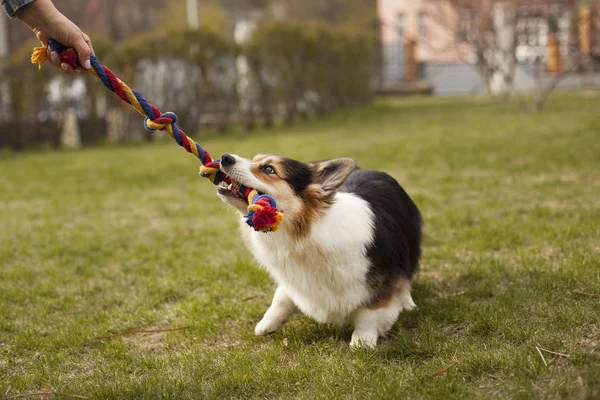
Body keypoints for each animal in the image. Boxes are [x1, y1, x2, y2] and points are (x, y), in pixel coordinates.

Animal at [217, 153, 422, 346]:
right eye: (254, 159)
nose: (225, 157)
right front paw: (266, 324)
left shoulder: (379, 280)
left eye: (269, 169)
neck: (303, 233)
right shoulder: (294, 280)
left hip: (409, 245)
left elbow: (369, 314)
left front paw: (361, 342)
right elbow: (282, 296)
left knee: (406, 276)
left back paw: (407, 302)